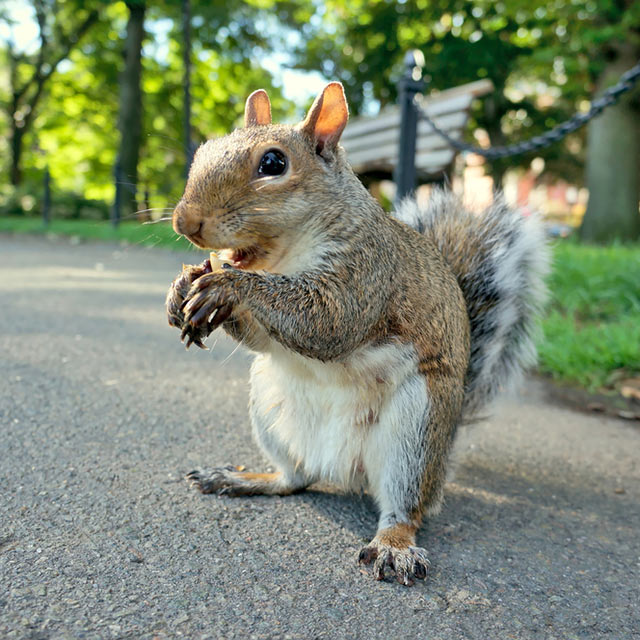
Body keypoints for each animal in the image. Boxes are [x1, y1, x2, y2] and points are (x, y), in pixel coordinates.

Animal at [165, 82, 548, 586]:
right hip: (270, 412)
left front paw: (228, 285)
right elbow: (263, 338)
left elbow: (328, 321)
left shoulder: (366, 273)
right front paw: (182, 287)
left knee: (405, 508)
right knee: (295, 479)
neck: (285, 254)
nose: (184, 222)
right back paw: (244, 478)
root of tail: (343, 468)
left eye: (273, 163)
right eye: (207, 148)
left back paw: (394, 546)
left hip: (414, 433)